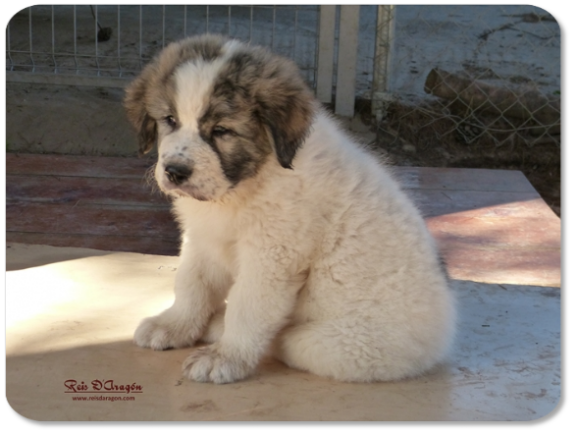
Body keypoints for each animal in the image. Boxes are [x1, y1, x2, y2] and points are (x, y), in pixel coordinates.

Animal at [125, 34, 454, 384]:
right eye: (169, 120)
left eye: (222, 131)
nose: (175, 171)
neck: (246, 183)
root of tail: (444, 335)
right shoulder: (204, 238)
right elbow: (191, 282)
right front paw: (173, 325)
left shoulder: (272, 255)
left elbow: (247, 306)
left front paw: (226, 356)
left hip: (341, 345)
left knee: (283, 338)